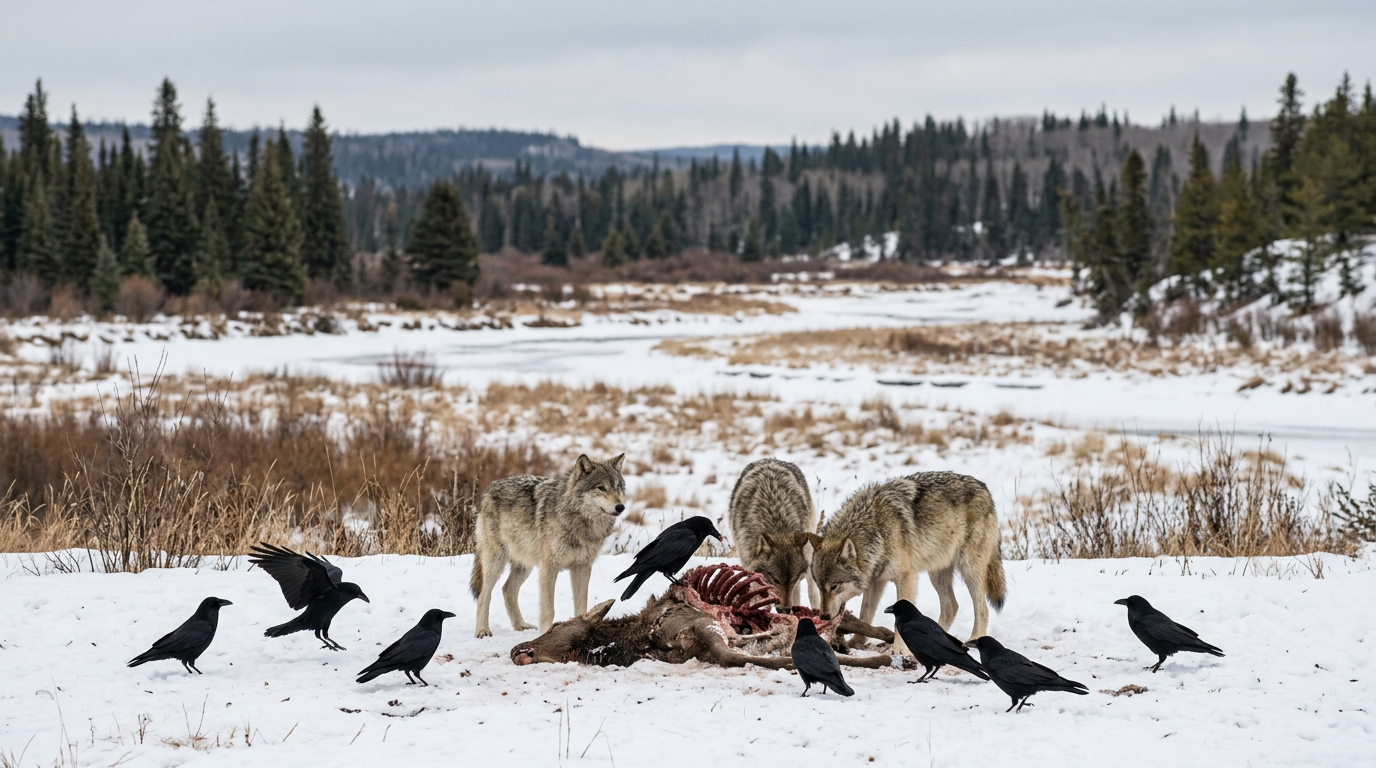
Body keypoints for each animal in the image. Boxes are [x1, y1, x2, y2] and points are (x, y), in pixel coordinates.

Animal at [470, 454, 626, 638]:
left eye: (618, 487)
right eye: (601, 488)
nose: (620, 507)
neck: (578, 520)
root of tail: (490, 487)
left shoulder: (582, 567)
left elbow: (582, 606)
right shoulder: (549, 567)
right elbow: (548, 610)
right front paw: (545, 635)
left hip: (525, 565)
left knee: (507, 590)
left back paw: (521, 625)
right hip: (496, 562)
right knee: (483, 594)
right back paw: (482, 630)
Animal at [727, 458, 820, 607]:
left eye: (792, 580)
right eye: (775, 580)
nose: (785, 609)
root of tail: (770, 459)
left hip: (809, 551)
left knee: (812, 591)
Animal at [807, 471, 1005, 647]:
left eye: (834, 586)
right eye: (819, 587)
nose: (823, 616)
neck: (877, 529)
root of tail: (984, 488)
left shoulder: (906, 577)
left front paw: (899, 650)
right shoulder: (876, 581)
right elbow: (865, 614)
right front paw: (857, 642)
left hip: (969, 569)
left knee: (982, 609)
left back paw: (973, 639)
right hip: (937, 573)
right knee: (951, 607)